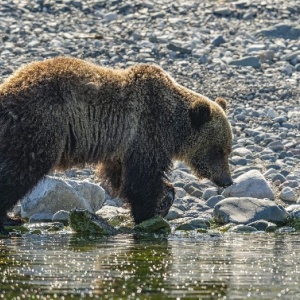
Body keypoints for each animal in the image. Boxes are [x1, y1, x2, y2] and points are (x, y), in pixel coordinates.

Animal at [0, 56, 233, 234]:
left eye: (228, 150)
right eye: (219, 150)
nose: (227, 180)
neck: (173, 126)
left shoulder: (121, 148)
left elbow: (122, 177)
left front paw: (165, 197)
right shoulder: (146, 131)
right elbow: (142, 181)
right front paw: (149, 213)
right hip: (41, 125)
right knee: (20, 171)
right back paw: (9, 218)